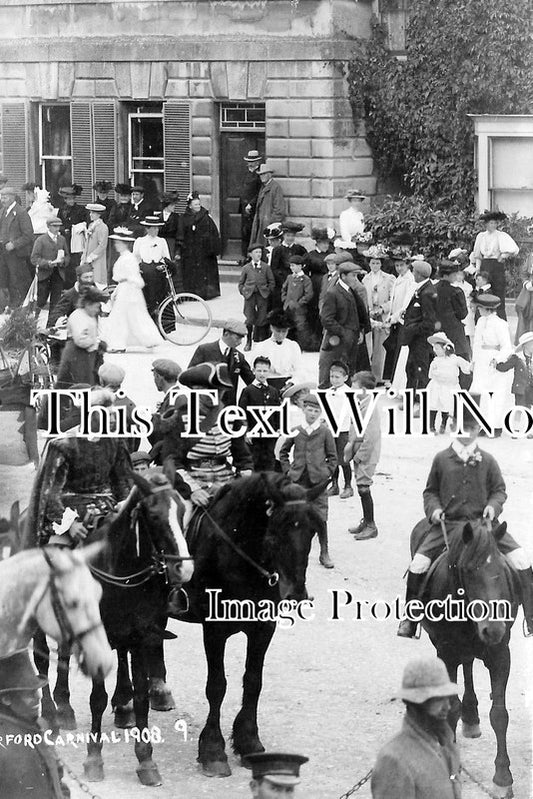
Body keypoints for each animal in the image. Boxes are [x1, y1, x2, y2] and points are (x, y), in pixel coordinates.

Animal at [176, 472, 324, 780]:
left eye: (313, 531)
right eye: (275, 531)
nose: (295, 594)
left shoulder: (263, 628)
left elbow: (254, 681)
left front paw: (249, 742)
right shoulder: (214, 631)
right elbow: (216, 686)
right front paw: (213, 751)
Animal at [414, 516, 516, 796]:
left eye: (500, 569)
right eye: (469, 570)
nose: (493, 629)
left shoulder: (501, 656)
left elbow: (499, 715)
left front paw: (502, 777)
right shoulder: (447, 653)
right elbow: (450, 709)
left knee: (469, 664)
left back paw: (471, 716)